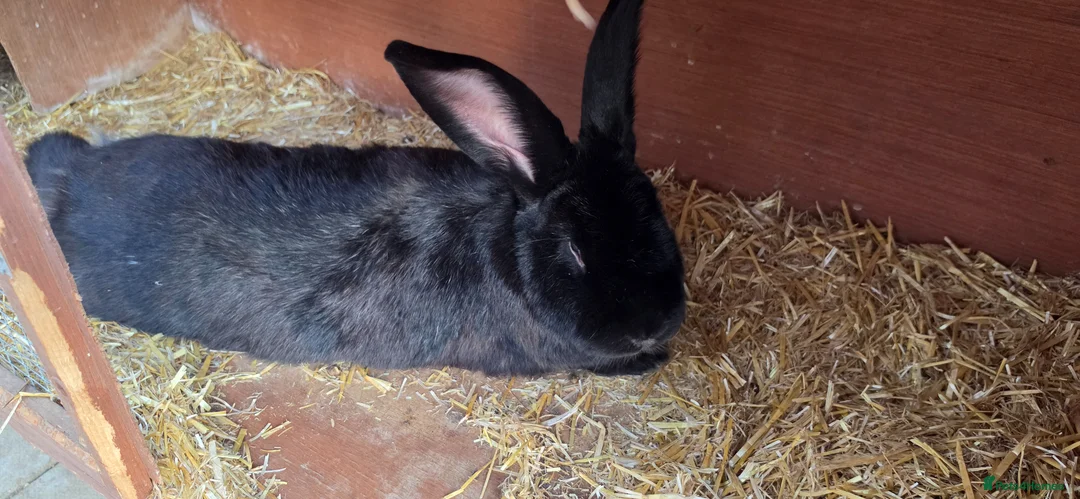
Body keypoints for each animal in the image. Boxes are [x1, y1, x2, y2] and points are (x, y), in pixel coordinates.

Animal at [24, 0, 685, 377]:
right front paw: (651, 359)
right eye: (574, 250)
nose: (654, 326)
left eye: (659, 217)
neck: (504, 253)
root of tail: (61, 179)